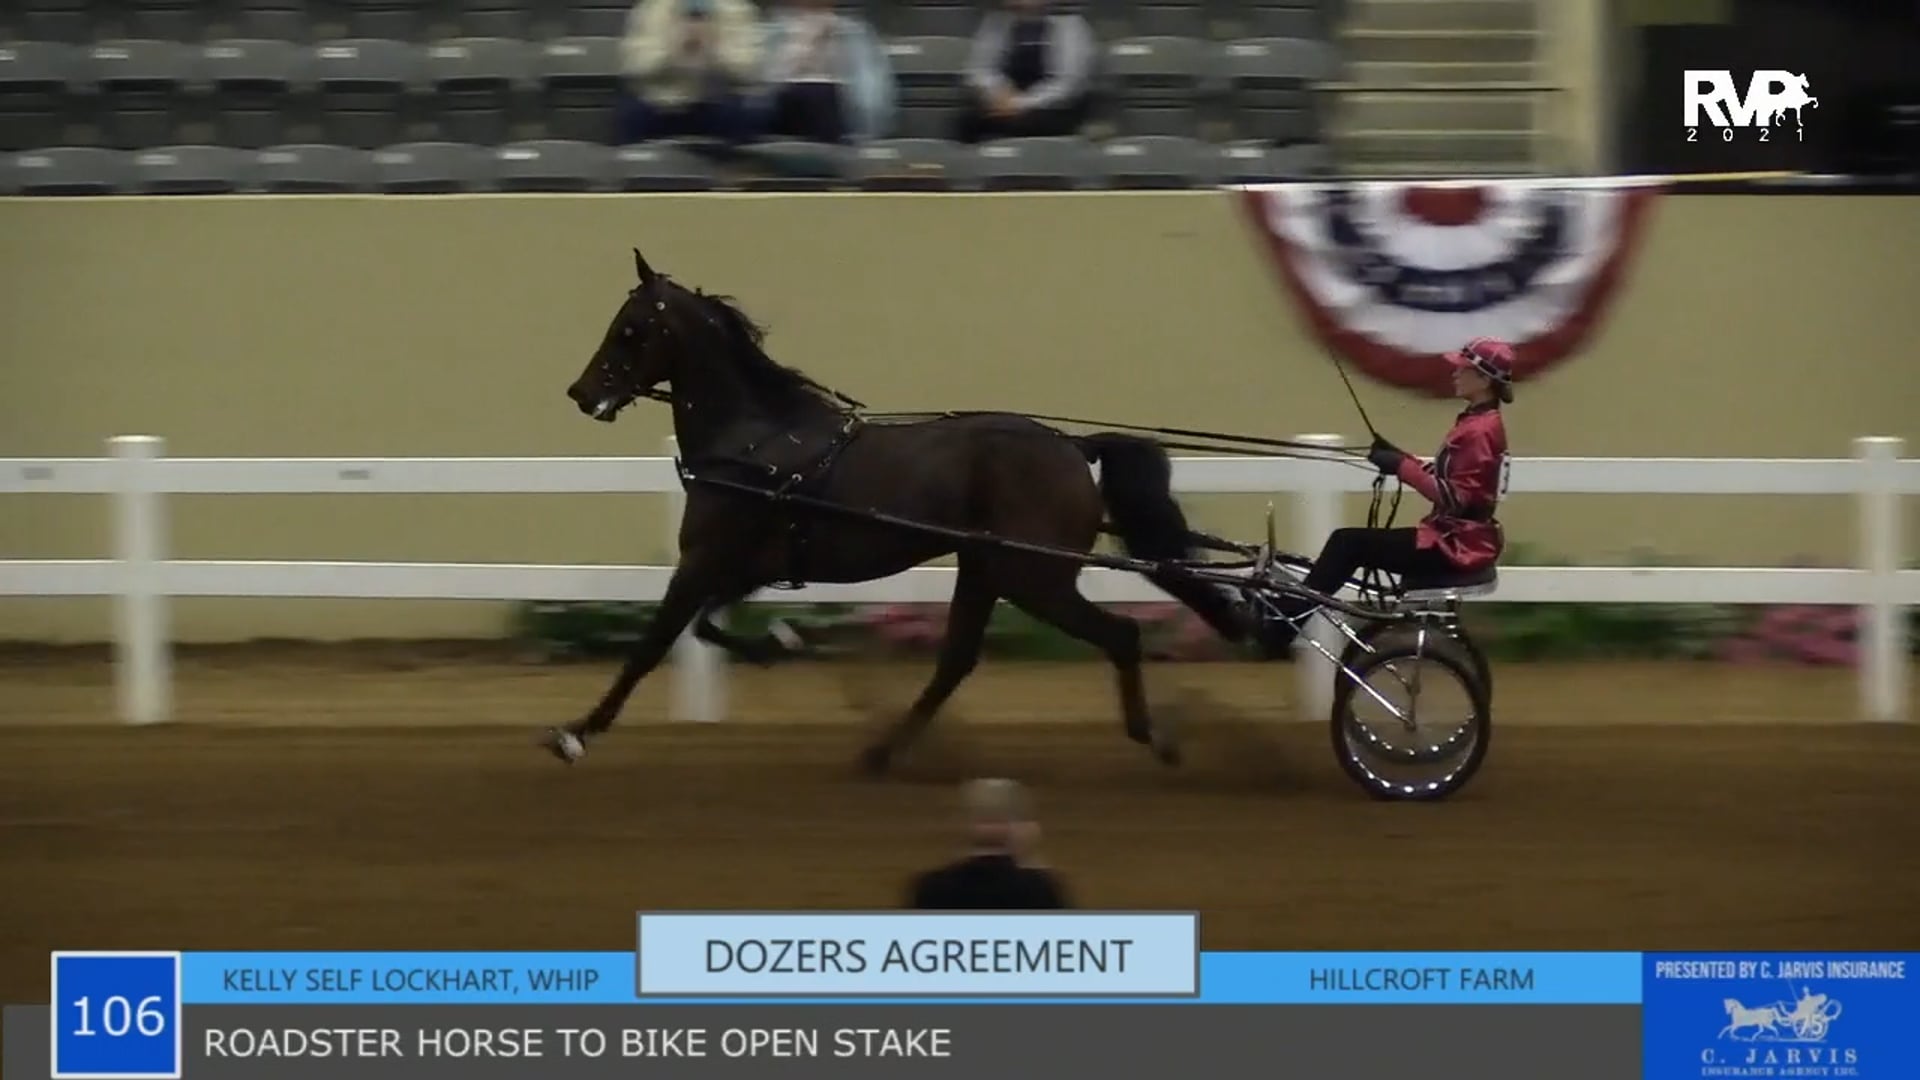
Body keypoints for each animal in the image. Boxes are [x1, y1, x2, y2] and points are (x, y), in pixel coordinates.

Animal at [539, 248, 1254, 774]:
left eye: (630, 329)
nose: (580, 392)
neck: (757, 441)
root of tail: (1071, 448)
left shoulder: (703, 560)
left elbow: (654, 643)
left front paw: (575, 734)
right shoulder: (742, 566)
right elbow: (708, 628)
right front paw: (780, 642)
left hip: (1034, 578)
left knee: (1120, 636)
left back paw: (1154, 739)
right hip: (985, 568)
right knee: (957, 661)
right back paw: (881, 753)